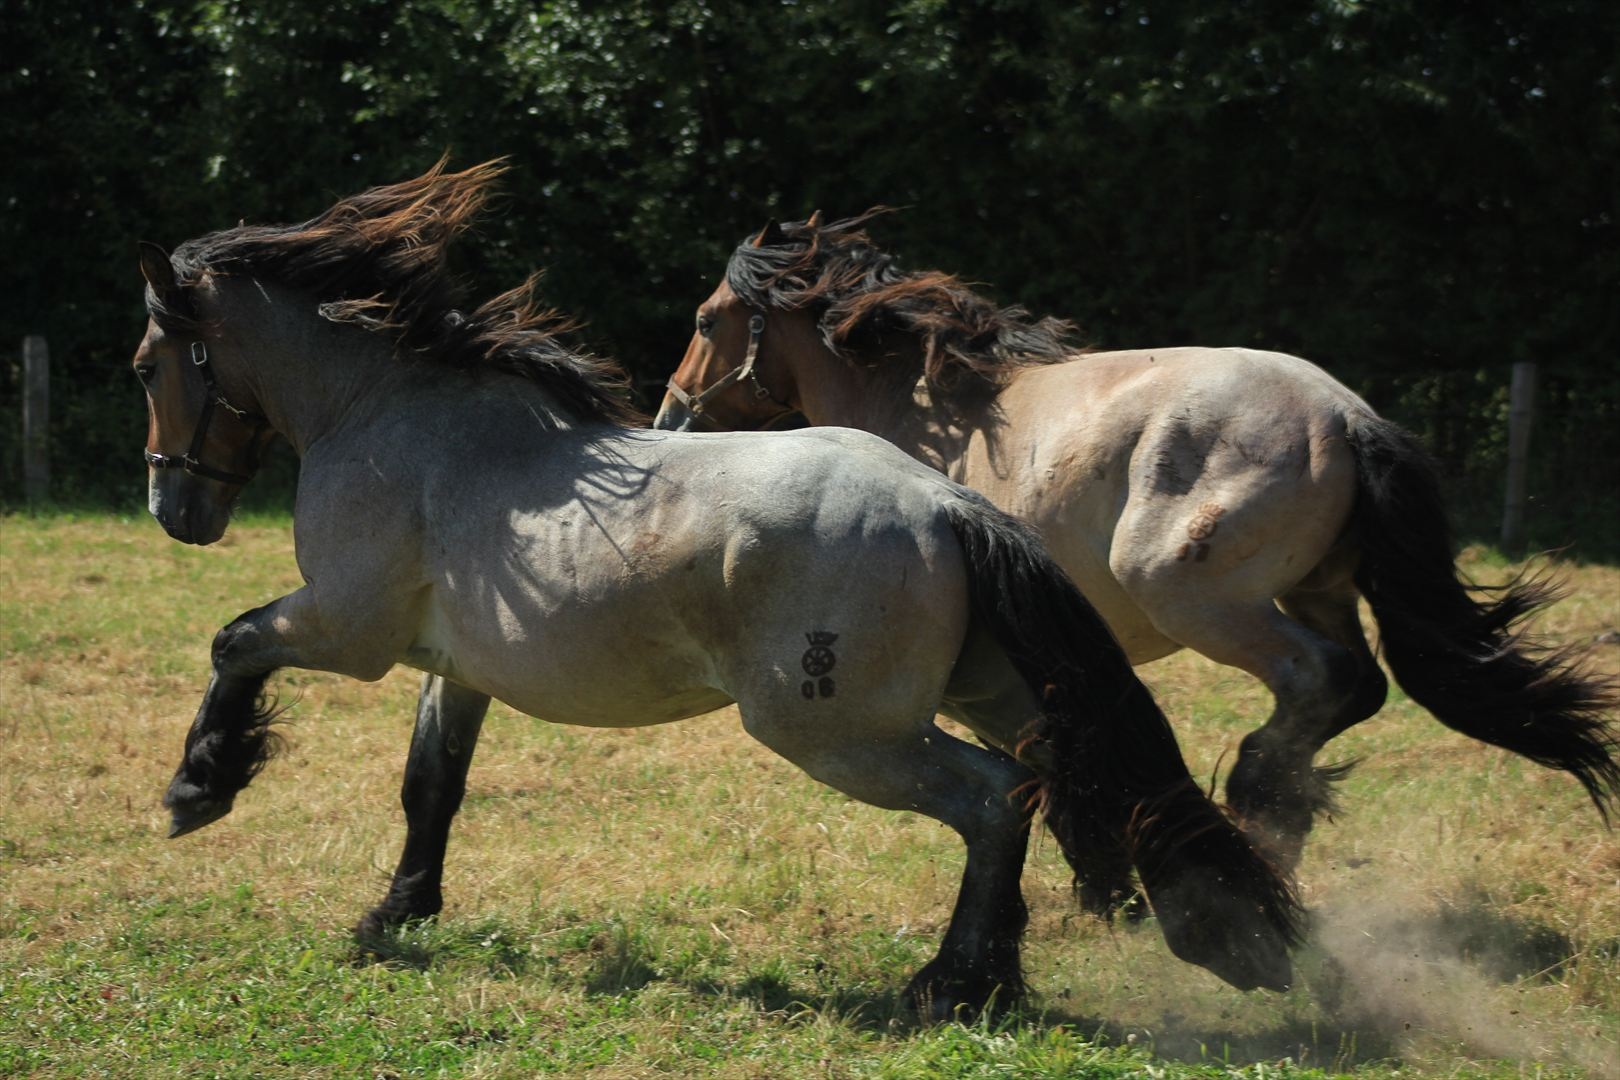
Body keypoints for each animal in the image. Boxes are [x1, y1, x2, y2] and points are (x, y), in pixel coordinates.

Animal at [136, 165, 1302, 1016]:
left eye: (149, 364)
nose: (174, 510)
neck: (387, 413)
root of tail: (944, 507)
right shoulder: (450, 667)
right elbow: (433, 785)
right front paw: (395, 914)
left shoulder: (347, 627)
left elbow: (234, 641)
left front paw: (199, 789)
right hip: (991, 694)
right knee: (1069, 778)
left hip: (837, 732)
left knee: (991, 799)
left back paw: (953, 983)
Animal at [654, 213, 1620, 887]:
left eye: (704, 319)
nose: (671, 414)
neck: (929, 412)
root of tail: (1348, 416)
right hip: (1317, 592)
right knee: (1362, 684)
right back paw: (1278, 822)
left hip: (1191, 595)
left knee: (1323, 678)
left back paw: (1256, 793)